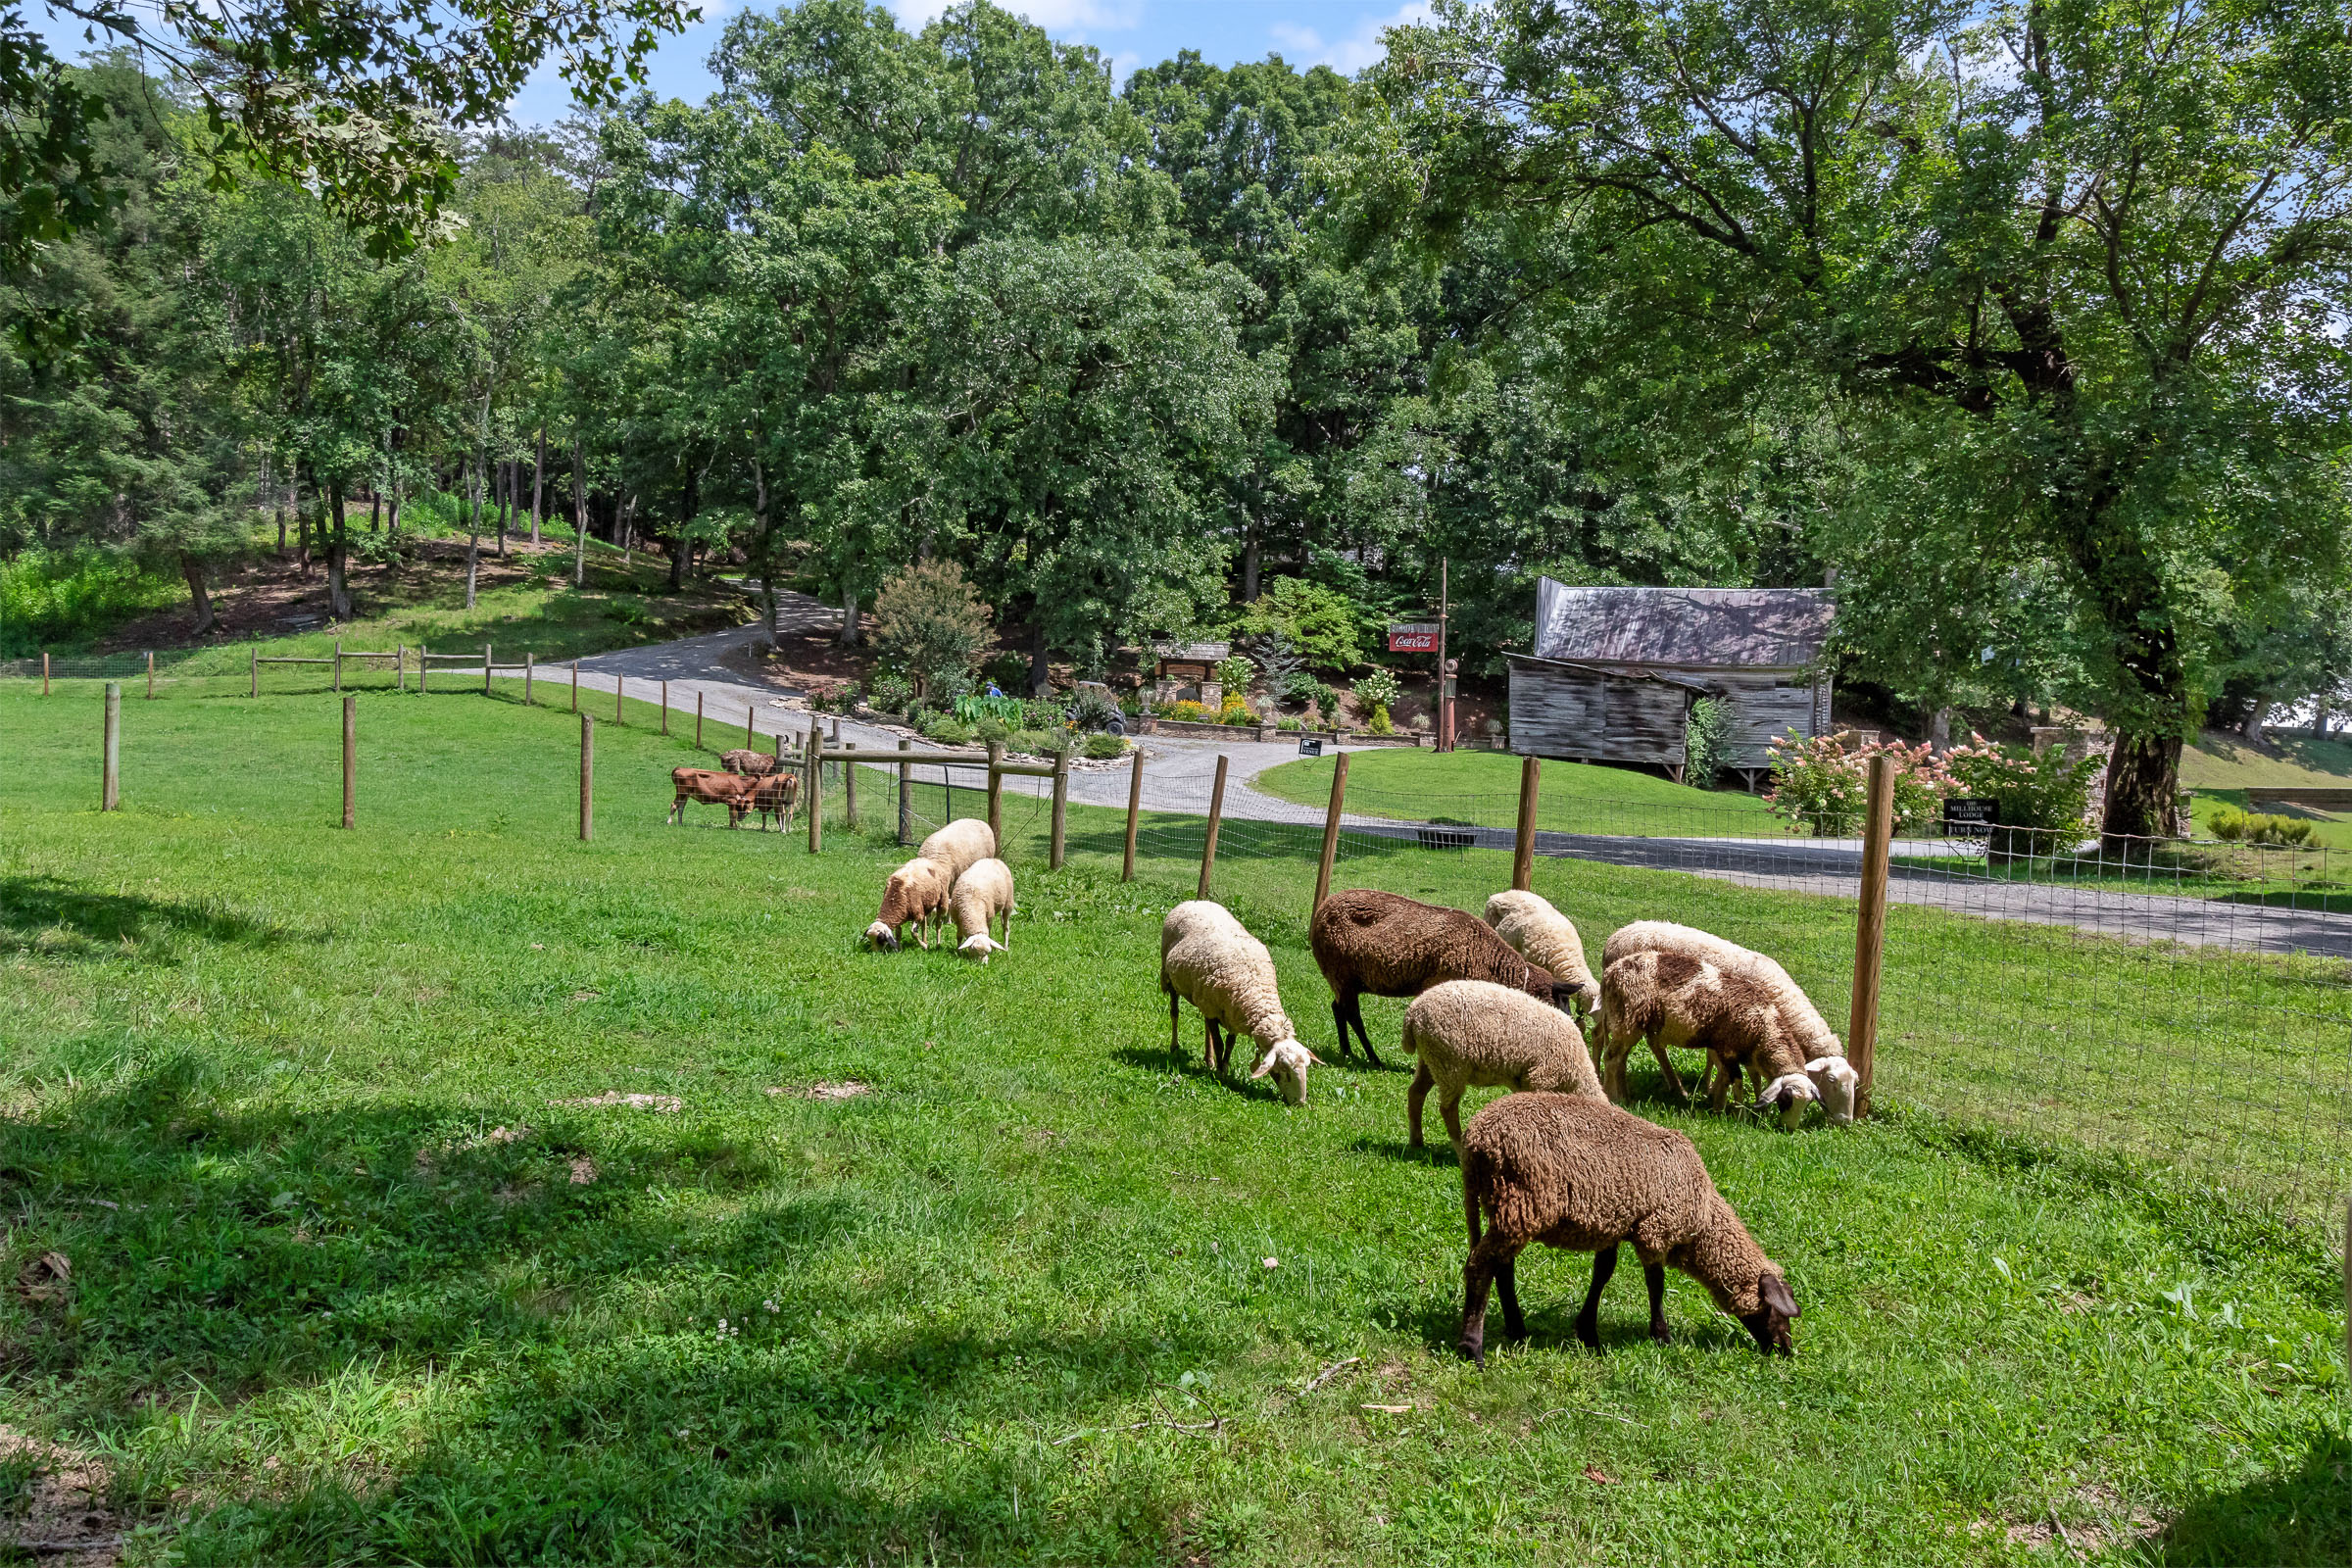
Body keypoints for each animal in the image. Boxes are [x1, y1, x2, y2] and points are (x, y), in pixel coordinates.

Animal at [1159, 901, 1320, 1104]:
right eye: (1284, 1069)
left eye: (1306, 1066)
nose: (1299, 1103)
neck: (1257, 997)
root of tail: (1195, 901)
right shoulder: (1216, 1009)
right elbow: (1220, 1043)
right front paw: (1220, 1072)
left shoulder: (1232, 1014)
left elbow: (1229, 1044)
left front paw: (1224, 1066)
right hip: (1171, 978)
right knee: (1175, 1013)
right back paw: (1175, 1046)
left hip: (1206, 1000)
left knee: (1206, 1026)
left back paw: (1209, 1059)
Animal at [1308, 889, 1573, 1070]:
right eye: (1560, 1002)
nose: (1572, 1032)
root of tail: (1323, 908)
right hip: (1341, 972)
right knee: (1352, 1015)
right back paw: (1373, 1059)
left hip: (1345, 979)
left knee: (1338, 1009)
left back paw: (1347, 1052)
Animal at [1401, 979, 1604, 1160]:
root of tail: (1413, 1013)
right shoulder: (1541, 1078)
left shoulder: (1524, 1082)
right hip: (1450, 1062)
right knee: (1447, 1108)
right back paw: (1459, 1149)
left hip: (1430, 1057)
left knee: (1416, 1093)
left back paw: (1416, 1141)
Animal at [1455, 1091, 1801, 1365]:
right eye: (1777, 1312)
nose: (1786, 1350)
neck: (1702, 1221)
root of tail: (1476, 1137)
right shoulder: (1655, 1229)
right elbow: (1656, 1283)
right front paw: (1662, 1336)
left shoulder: (1615, 1223)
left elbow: (1603, 1273)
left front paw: (1588, 1332)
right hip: (1522, 1200)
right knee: (1480, 1265)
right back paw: (1472, 1349)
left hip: (1506, 1206)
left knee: (1501, 1266)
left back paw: (1517, 1329)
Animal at [1601, 921, 1857, 1122]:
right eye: (1831, 1080)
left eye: (1855, 1082)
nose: (1844, 1121)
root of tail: (1617, 936)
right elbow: (1731, 1068)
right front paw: (1721, 1098)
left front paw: (1715, 1093)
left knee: (1642, 1044)